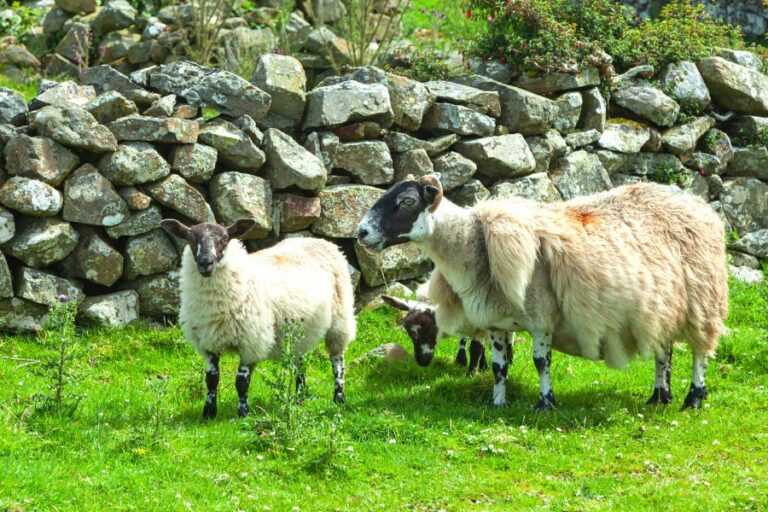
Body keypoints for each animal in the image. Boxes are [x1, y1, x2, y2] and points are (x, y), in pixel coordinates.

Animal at [160, 218, 356, 419]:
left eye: (224, 239)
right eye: (191, 239)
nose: (205, 263)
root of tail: (320, 241)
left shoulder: (252, 341)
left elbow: (241, 381)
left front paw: (243, 413)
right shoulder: (208, 344)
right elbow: (211, 379)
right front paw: (208, 413)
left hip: (340, 318)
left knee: (337, 361)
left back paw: (339, 398)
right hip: (299, 330)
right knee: (300, 363)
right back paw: (299, 399)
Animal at [357, 175, 728, 411]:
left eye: (406, 201)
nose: (360, 232)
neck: (473, 243)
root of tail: (695, 202)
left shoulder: (541, 318)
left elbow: (540, 362)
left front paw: (545, 403)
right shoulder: (496, 323)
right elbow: (498, 366)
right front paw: (497, 403)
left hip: (702, 299)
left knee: (699, 352)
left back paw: (693, 398)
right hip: (663, 304)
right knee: (664, 352)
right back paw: (658, 396)